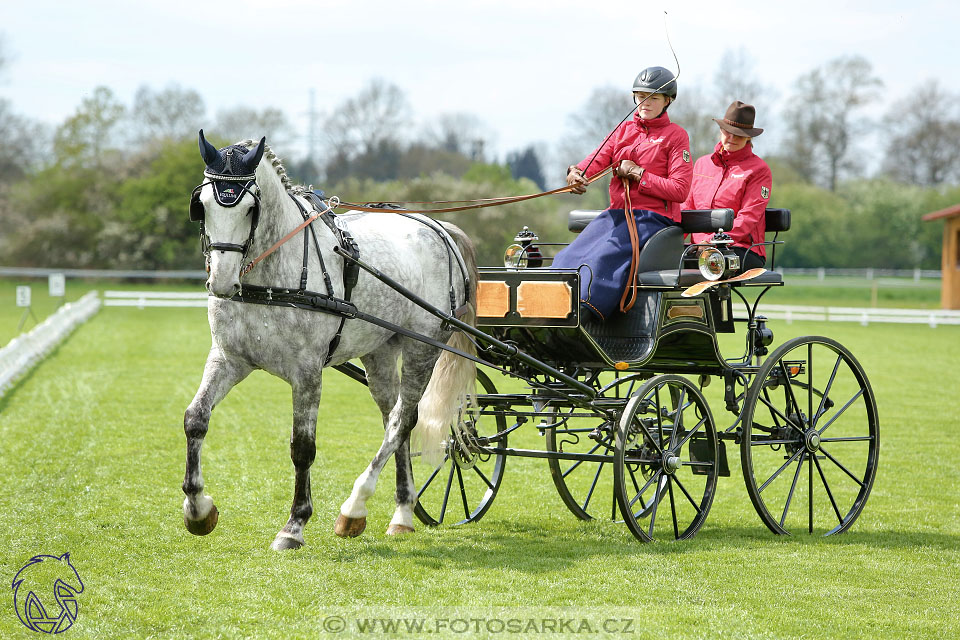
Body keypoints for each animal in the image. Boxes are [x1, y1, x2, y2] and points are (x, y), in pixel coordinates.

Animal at [181, 134, 476, 552]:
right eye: (202, 205)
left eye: (251, 209)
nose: (221, 282)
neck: (271, 278)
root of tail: (441, 228)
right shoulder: (228, 359)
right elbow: (196, 419)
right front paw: (198, 509)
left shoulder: (307, 372)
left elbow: (302, 447)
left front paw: (294, 525)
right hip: (380, 351)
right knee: (394, 419)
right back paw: (402, 513)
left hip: (425, 346)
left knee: (402, 419)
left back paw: (355, 506)